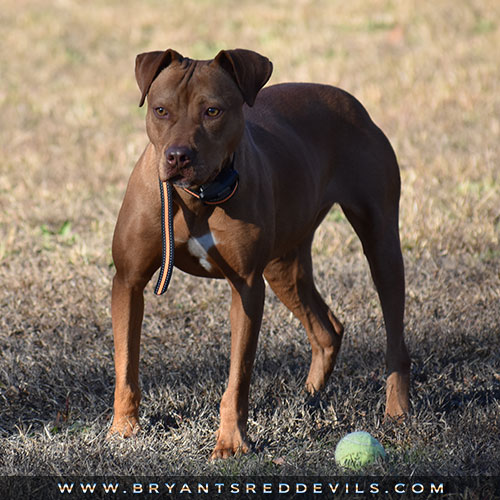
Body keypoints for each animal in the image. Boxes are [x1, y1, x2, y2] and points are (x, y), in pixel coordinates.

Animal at [110, 48, 410, 458]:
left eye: (213, 111)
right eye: (160, 110)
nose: (178, 156)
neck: (196, 197)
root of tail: (349, 101)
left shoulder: (247, 287)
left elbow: (239, 375)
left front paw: (231, 441)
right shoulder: (128, 281)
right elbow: (126, 364)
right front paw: (122, 429)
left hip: (381, 244)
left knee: (395, 336)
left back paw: (398, 408)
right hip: (284, 265)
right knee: (327, 330)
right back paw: (308, 398)